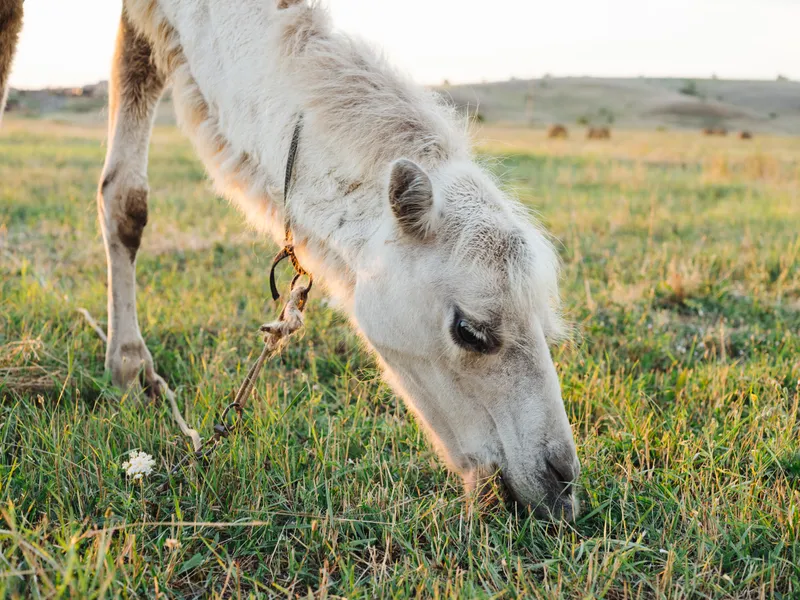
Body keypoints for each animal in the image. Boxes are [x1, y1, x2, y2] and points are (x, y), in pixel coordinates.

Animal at [0, 0, 580, 520]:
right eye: (470, 330)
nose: (562, 480)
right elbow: (123, 198)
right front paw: (126, 369)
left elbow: (127, 201)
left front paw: (129, 370)